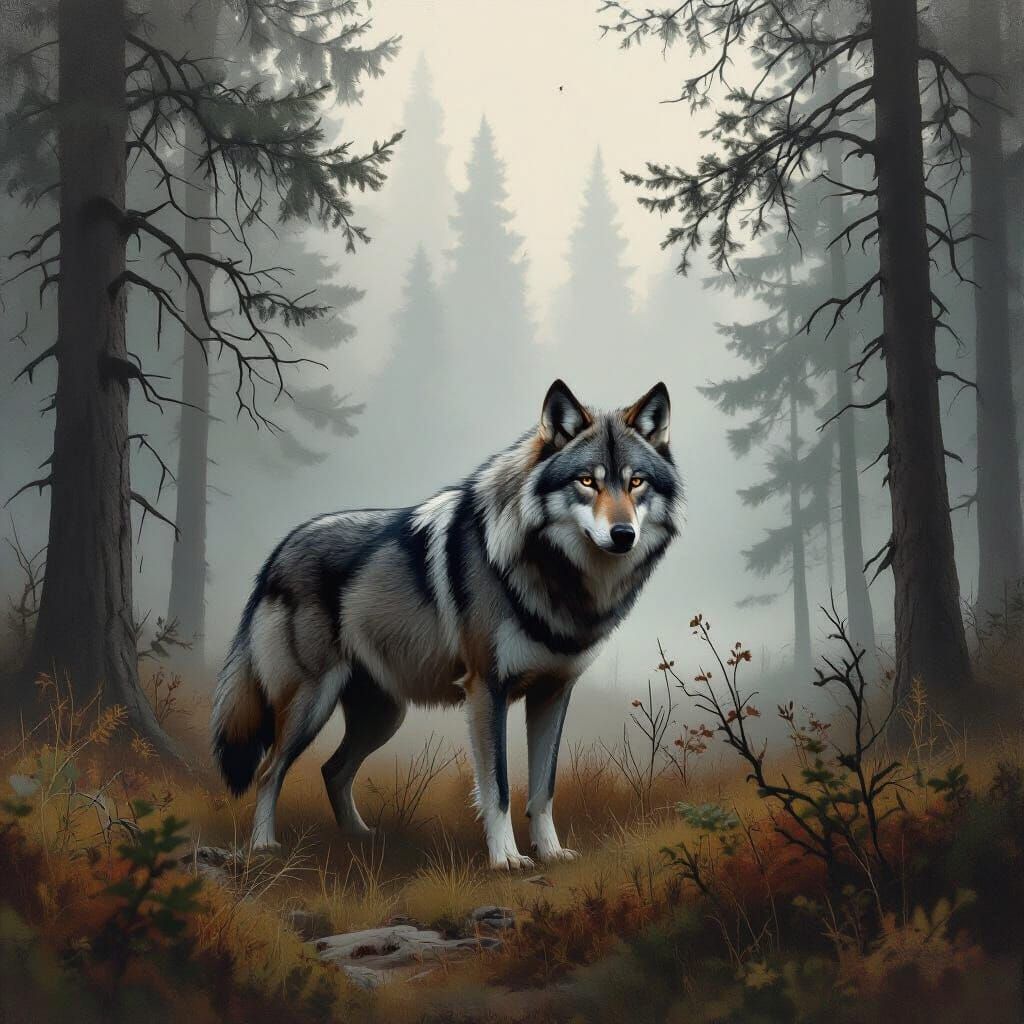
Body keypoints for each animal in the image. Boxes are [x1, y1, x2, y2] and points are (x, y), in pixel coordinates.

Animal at [211, 380, 683, 868]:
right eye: (587, 481)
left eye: (635, 482)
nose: (623, 535)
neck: (558, 579)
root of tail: (278, 551)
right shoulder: (486, 689)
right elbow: (498, 787)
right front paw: (506, 860)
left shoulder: (554, 693)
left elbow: (543, 788)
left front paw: (550, 852)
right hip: (311, 703)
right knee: (269, 770)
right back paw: (263, 846)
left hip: (384, 716)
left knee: (332, 770)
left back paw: (360, 839)